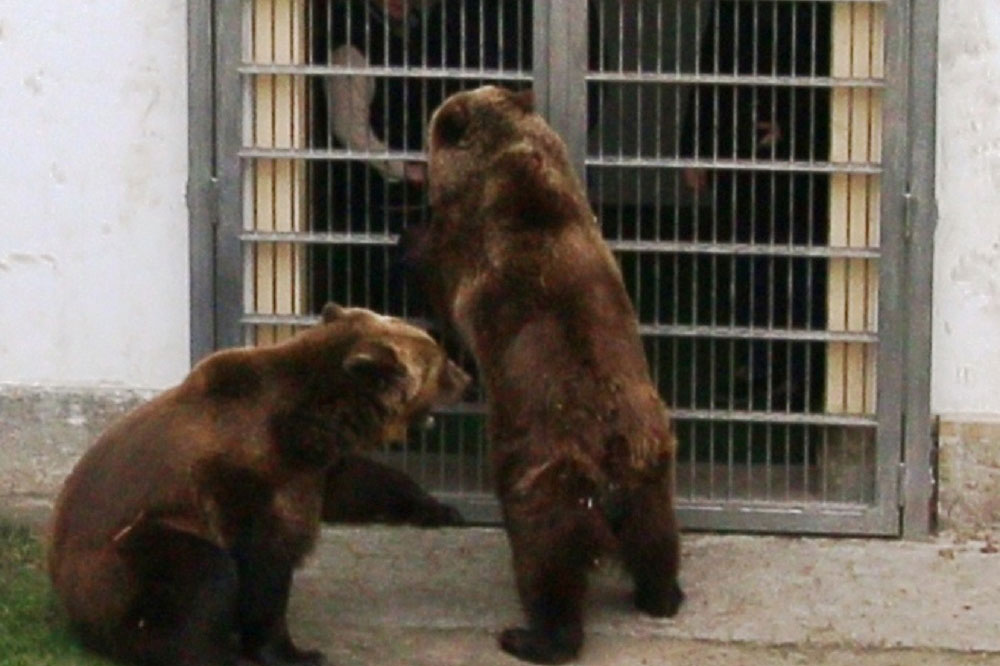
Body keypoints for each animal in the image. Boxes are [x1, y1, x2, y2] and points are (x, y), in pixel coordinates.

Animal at [47, 304, 468, 664]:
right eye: (441, 361)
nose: (467, 377)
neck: (312, 421)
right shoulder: (242, 472)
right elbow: (261, 562)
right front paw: (293, 651)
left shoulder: (315, 468)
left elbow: (360, 483)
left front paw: (441, 508)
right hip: (123, 558)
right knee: (200, 573)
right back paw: (209, 652)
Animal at [406, 85, 680, 660]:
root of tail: (611, 457)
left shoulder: (470, 258)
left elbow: (442, 283)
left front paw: (409, 244)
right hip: (649, 461)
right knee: (656, 538)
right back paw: (663, 594)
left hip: (543, 471)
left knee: (545, 559)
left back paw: (530, 635)